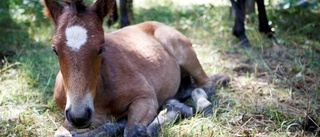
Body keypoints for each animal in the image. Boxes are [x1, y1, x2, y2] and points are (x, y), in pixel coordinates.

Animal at [42, 0, 215, 136]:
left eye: (101, 48)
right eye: (54, 49)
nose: (79, 116)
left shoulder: (145, 98)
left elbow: (134, 130)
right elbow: (61, 134)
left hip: (183, 52)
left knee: (205, 85)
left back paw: (200, 105)